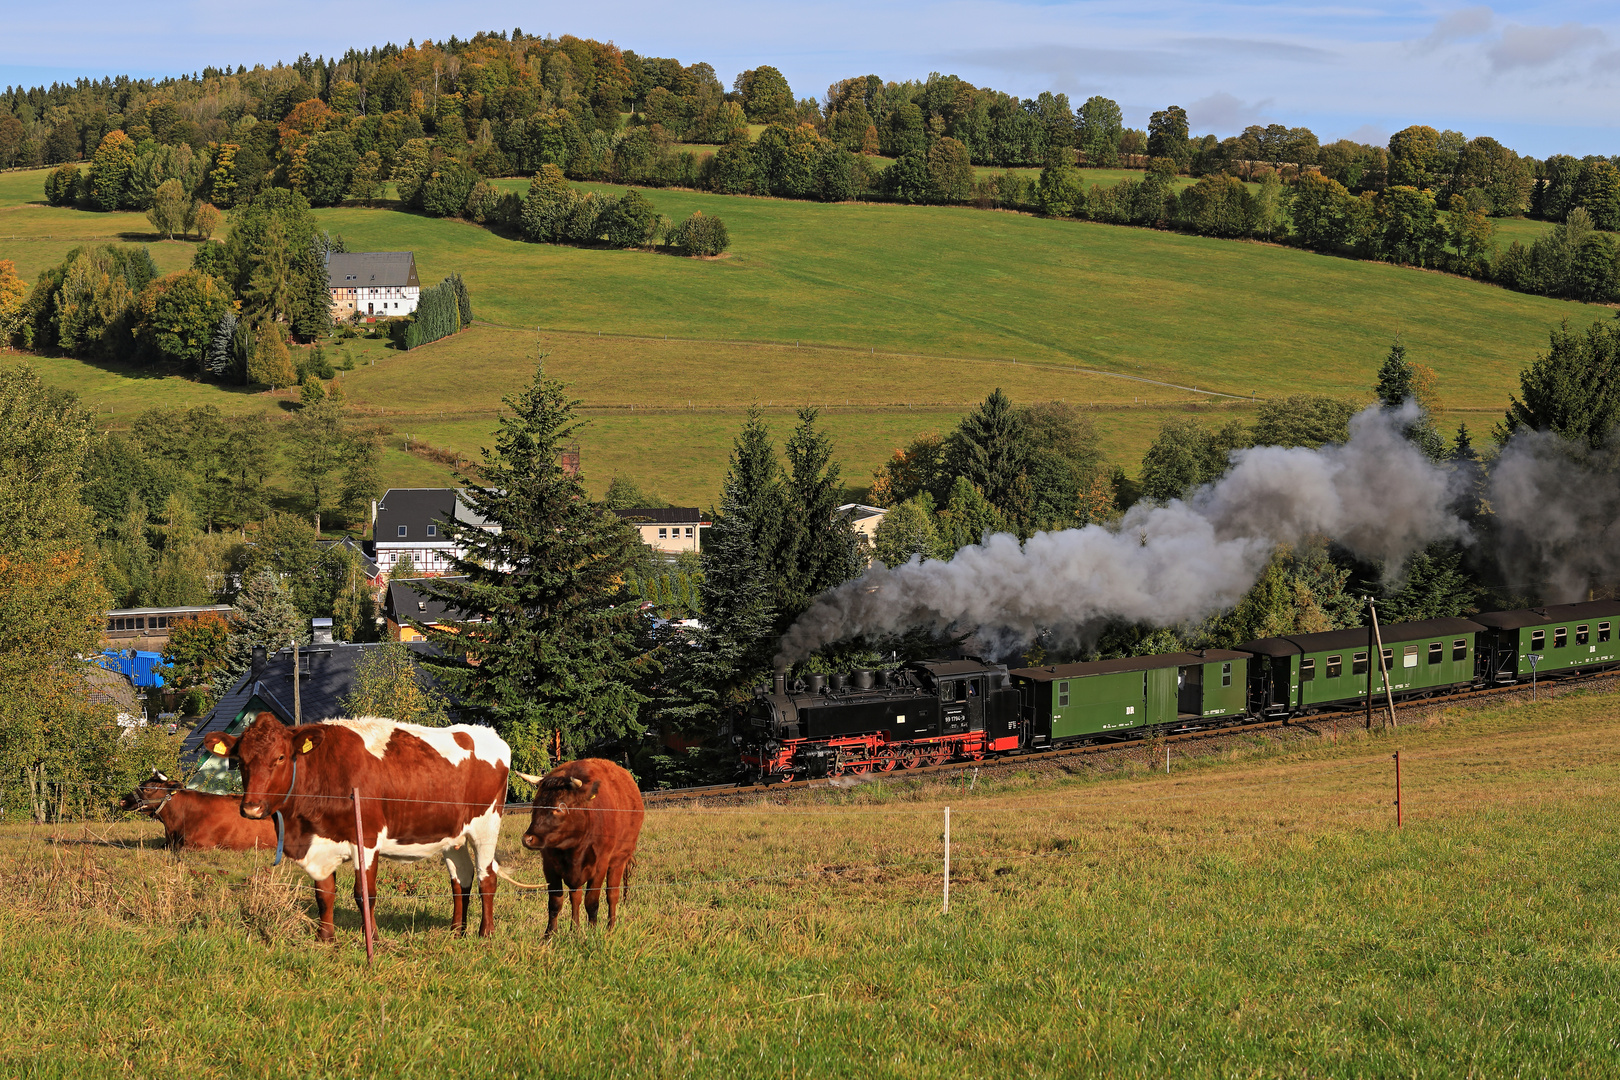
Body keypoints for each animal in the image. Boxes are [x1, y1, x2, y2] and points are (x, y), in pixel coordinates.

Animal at [208, 712, 508, 939]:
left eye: (280, 757)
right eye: (239, 760)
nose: (251, 807)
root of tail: (486, 734)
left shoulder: (367, 839)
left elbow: (365, 894)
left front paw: (371, 936)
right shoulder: (320, 843)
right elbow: (324, 893)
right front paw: (325, 938)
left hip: (486, 826)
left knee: (486, 876)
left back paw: (485, 933)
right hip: (453, 835)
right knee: (461, 878)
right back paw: (457, 931)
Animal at [518, 761, 644, 939]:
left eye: (559, 808)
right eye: (535, 805)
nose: (528, 838)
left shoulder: (600, 866)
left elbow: (591, 902)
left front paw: (592, 932)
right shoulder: (549, 866)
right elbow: (555, 902)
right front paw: (549, 935)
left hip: (619, 860)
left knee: (612, 895)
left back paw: (610, 928)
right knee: (575, 897)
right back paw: (575, 929)